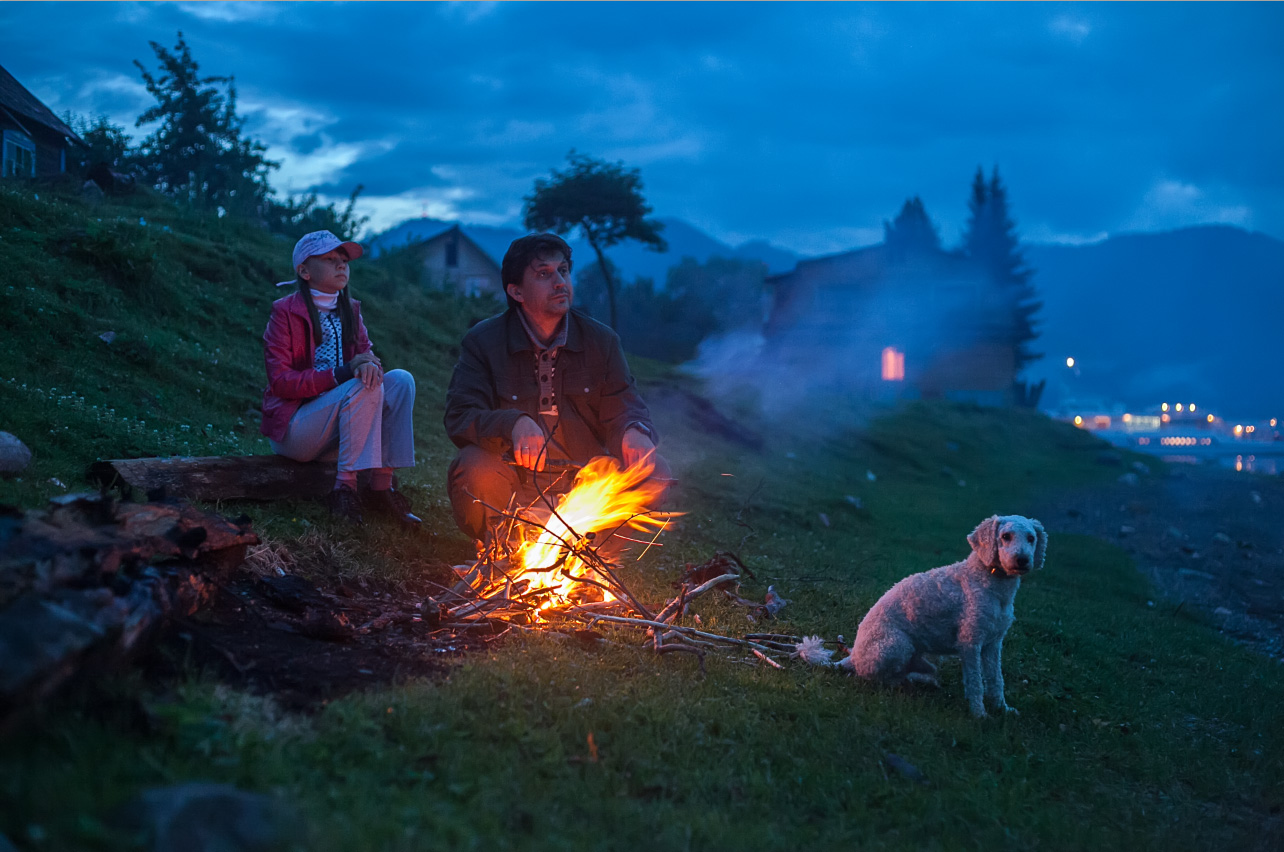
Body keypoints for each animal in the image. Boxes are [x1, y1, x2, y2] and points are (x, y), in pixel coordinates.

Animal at [796, 515, 1047, 713]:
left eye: (1031, 538)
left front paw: (1002, 709)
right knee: (872, 676)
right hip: (896, 644)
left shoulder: (993, 644)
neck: (988, 580)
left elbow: (996, 680)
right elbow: (976, 682)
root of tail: (853, 656)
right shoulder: (970, 643)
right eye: (1005, 536)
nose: (1022, 560)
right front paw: (979, 714)